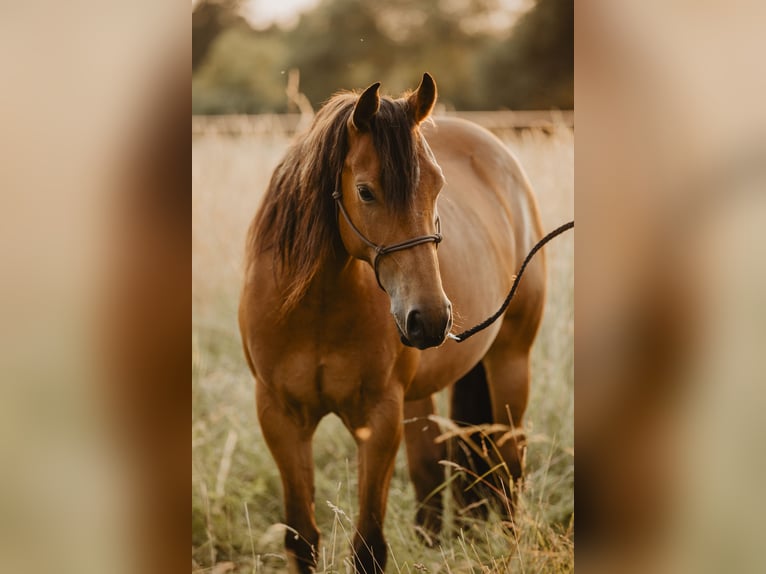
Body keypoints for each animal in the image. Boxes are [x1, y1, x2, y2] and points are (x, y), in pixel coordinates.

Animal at [239, 73, 546, 573]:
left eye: (438, 186)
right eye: (365, 191)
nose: (431, 318)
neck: (314, 309)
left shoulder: (378, 419)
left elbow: (368, 545)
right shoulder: (281, 419)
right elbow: (303, 539)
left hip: (510, 362)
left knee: (508, 464)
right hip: (419, 392)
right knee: (431, 464)